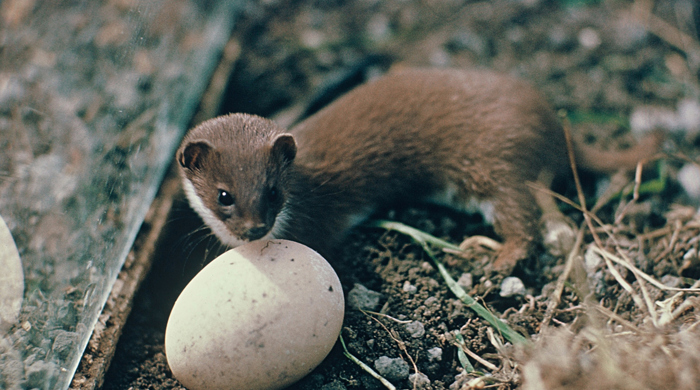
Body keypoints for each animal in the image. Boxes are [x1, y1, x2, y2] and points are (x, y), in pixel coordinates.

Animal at [176, 68, 660, 270]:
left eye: (274, 190)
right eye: (223, 194)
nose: (255, 229)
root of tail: (555, 124)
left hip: (490, 164)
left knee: (523, 216)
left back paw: (499, 259)